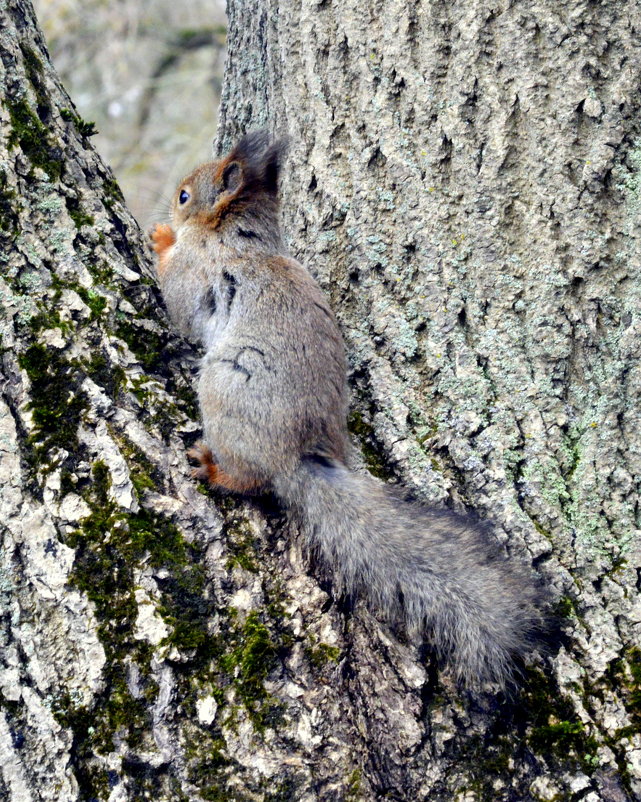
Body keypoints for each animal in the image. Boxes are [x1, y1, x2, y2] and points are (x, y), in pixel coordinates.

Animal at [150, 130, 540, 688]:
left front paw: (161, 238)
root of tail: (297, 458)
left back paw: (215, 468)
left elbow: (176, 298)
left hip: (226, 393)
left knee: (251, 479)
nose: (170, 206)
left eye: (185, 196)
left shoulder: (197, 268)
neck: (239, 237)